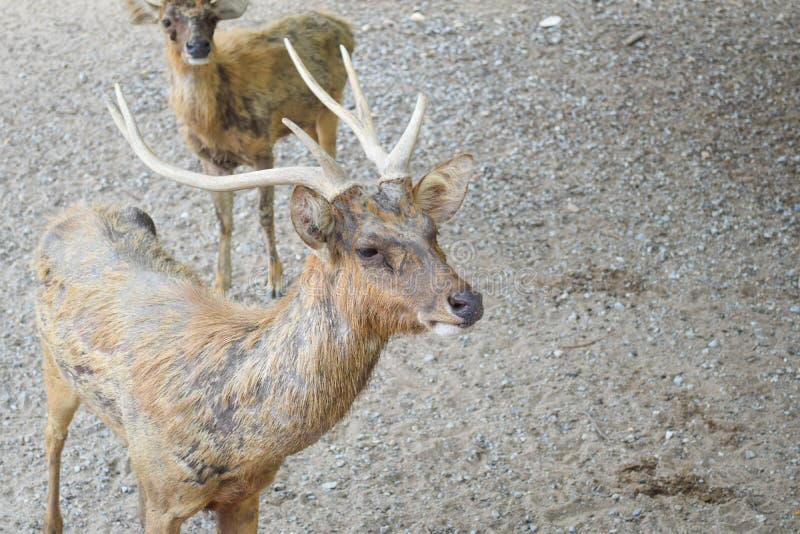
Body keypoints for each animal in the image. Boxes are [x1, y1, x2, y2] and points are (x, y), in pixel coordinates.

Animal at [35, 40, 483, 533]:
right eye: (367, 249)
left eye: (431, 230)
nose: (467, 301)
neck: (238, 440)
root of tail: (71, 212)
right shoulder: (162, 497)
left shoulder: (246, 494)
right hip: (52, 367)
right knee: (52, 439)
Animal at [123, 0, 355, 296]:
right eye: (166, 21)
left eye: (213, 18)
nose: (198, 46)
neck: (213, 125)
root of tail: (345, 27)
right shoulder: (209, 160)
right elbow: (223, 220)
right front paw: (220, 283)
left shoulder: (262, 147)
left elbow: (265, 214)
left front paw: (274, 280)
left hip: (331, 102)